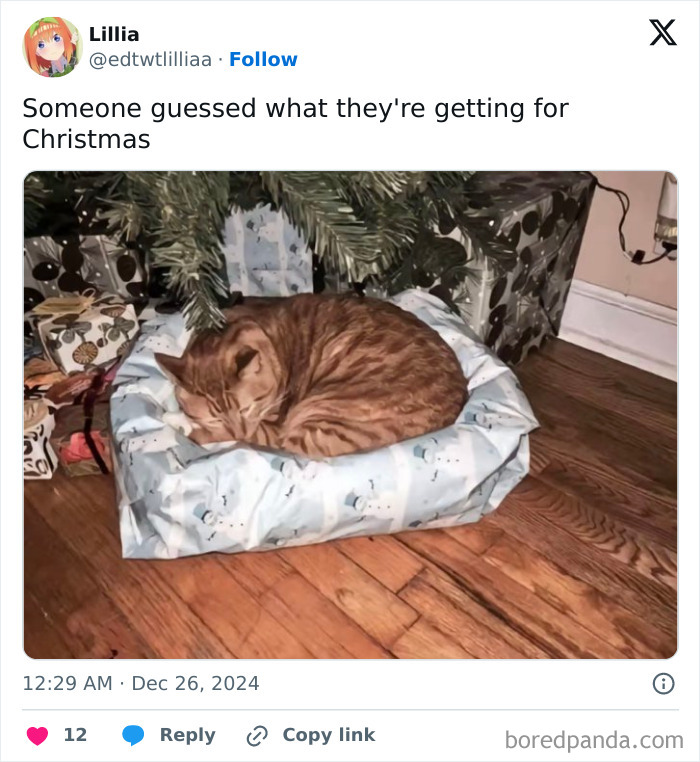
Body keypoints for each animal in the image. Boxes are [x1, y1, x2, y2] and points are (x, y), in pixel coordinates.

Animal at [156, 292, 468, 458]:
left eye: (247, 408)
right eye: (214, 416)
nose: (238, 429)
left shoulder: (269, 428)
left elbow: (218, 433)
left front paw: (180, 424)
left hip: (320, 416)